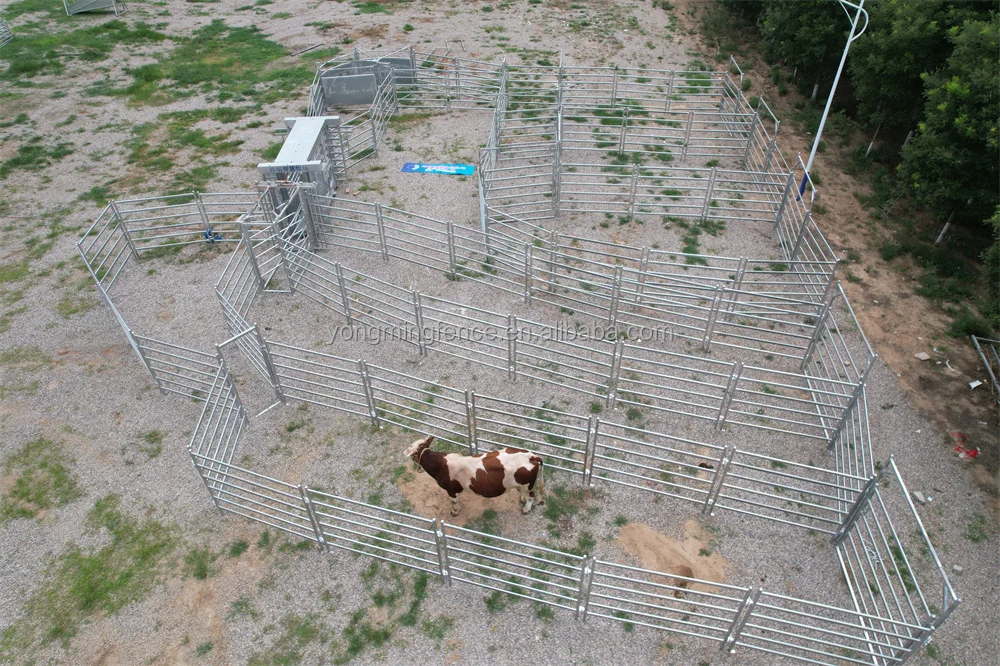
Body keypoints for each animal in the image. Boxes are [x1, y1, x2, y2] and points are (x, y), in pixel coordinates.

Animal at [406, 436, 548, 512]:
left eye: (413, 453)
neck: (441, 465)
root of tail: (531, 456)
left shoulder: (451, 489)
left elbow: (455, 501)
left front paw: (455, 511)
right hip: (522, 484)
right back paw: (522, 498)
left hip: (526, 484)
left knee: (531, 496)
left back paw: (526, 509)